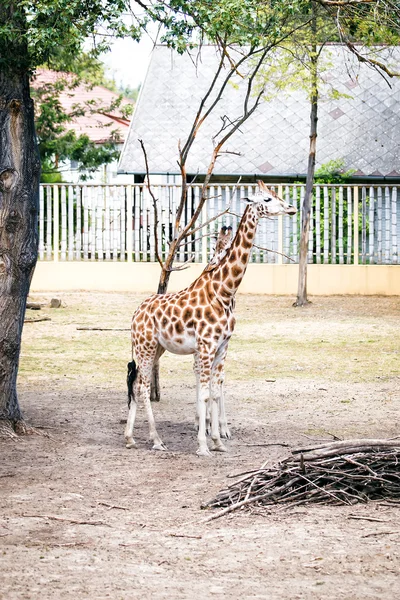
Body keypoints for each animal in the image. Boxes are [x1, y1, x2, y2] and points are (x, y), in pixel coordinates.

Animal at [126, 182, 296, 454]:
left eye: (277, 195)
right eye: (268, 199)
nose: (291, 208)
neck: (224, 292)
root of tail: (135, 314)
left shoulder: (222, 346)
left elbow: (216, 391)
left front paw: (218, 440)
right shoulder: (205, 346)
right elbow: (205, 393)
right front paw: (203, 445)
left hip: (156, 348)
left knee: (135, 384)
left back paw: (130, 437)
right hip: (146, 346)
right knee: (142, 386)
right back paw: (156, 440)